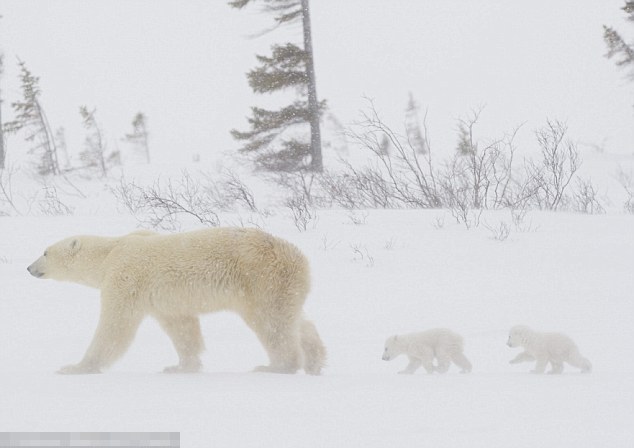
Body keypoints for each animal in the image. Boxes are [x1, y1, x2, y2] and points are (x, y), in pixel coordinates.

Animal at [27, 228, 326, 374]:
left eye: (45, 252)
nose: (29, 268)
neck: (110, 252)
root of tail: (301, 260)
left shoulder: (126, 278)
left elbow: (115, 325)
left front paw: (76, 367)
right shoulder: (163, 298)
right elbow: (181, 327)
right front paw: (180, 367)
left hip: (261, 279)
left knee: (272, 324)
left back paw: (277, 366)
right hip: (282, 286)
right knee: (295, 319)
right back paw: (316, 361)